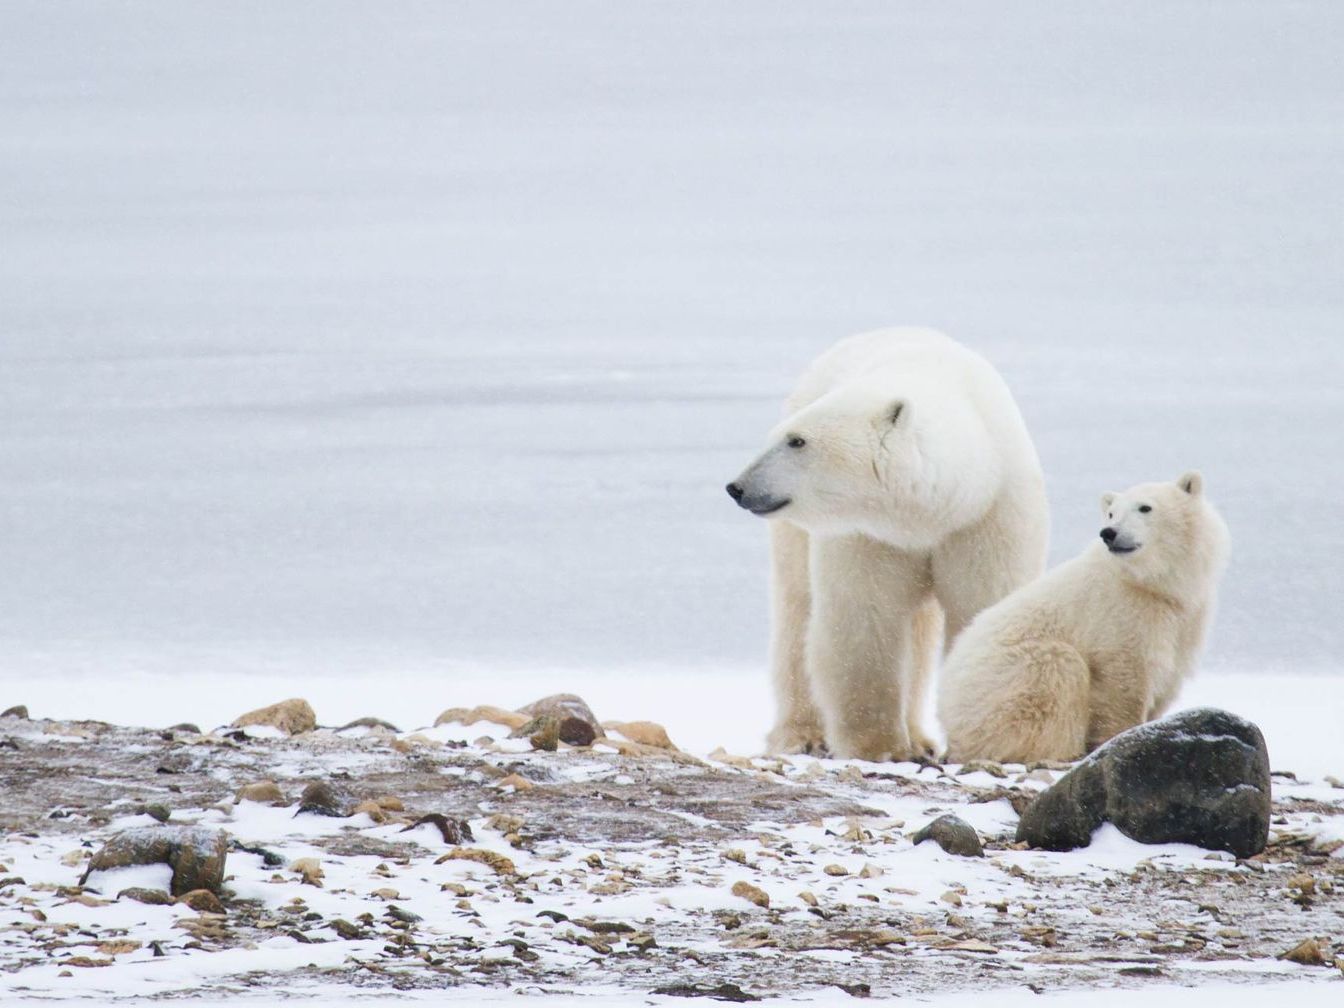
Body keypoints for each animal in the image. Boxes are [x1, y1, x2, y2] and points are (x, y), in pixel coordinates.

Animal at [726, 327, 1049, 762]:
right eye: (786, 437)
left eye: (797, 441)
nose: (737, 487)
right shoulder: (869, 533)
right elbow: (864, 619)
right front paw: (881, 747)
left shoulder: (987, 518)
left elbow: (985, 609)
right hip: (794, 535)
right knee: (797, 609)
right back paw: (803, 734)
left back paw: (921, 737)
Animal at [937, 472, 1230, 764]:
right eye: (1111, 513)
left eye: (1145, 507)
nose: (1108, 533)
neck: (1152, 586)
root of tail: (946, 717)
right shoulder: (1120, 613)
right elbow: (1125, 680)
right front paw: (1121, 738)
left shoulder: (1185, 619)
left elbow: (1168, 674)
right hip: (1003, 683)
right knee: (1059, 669)